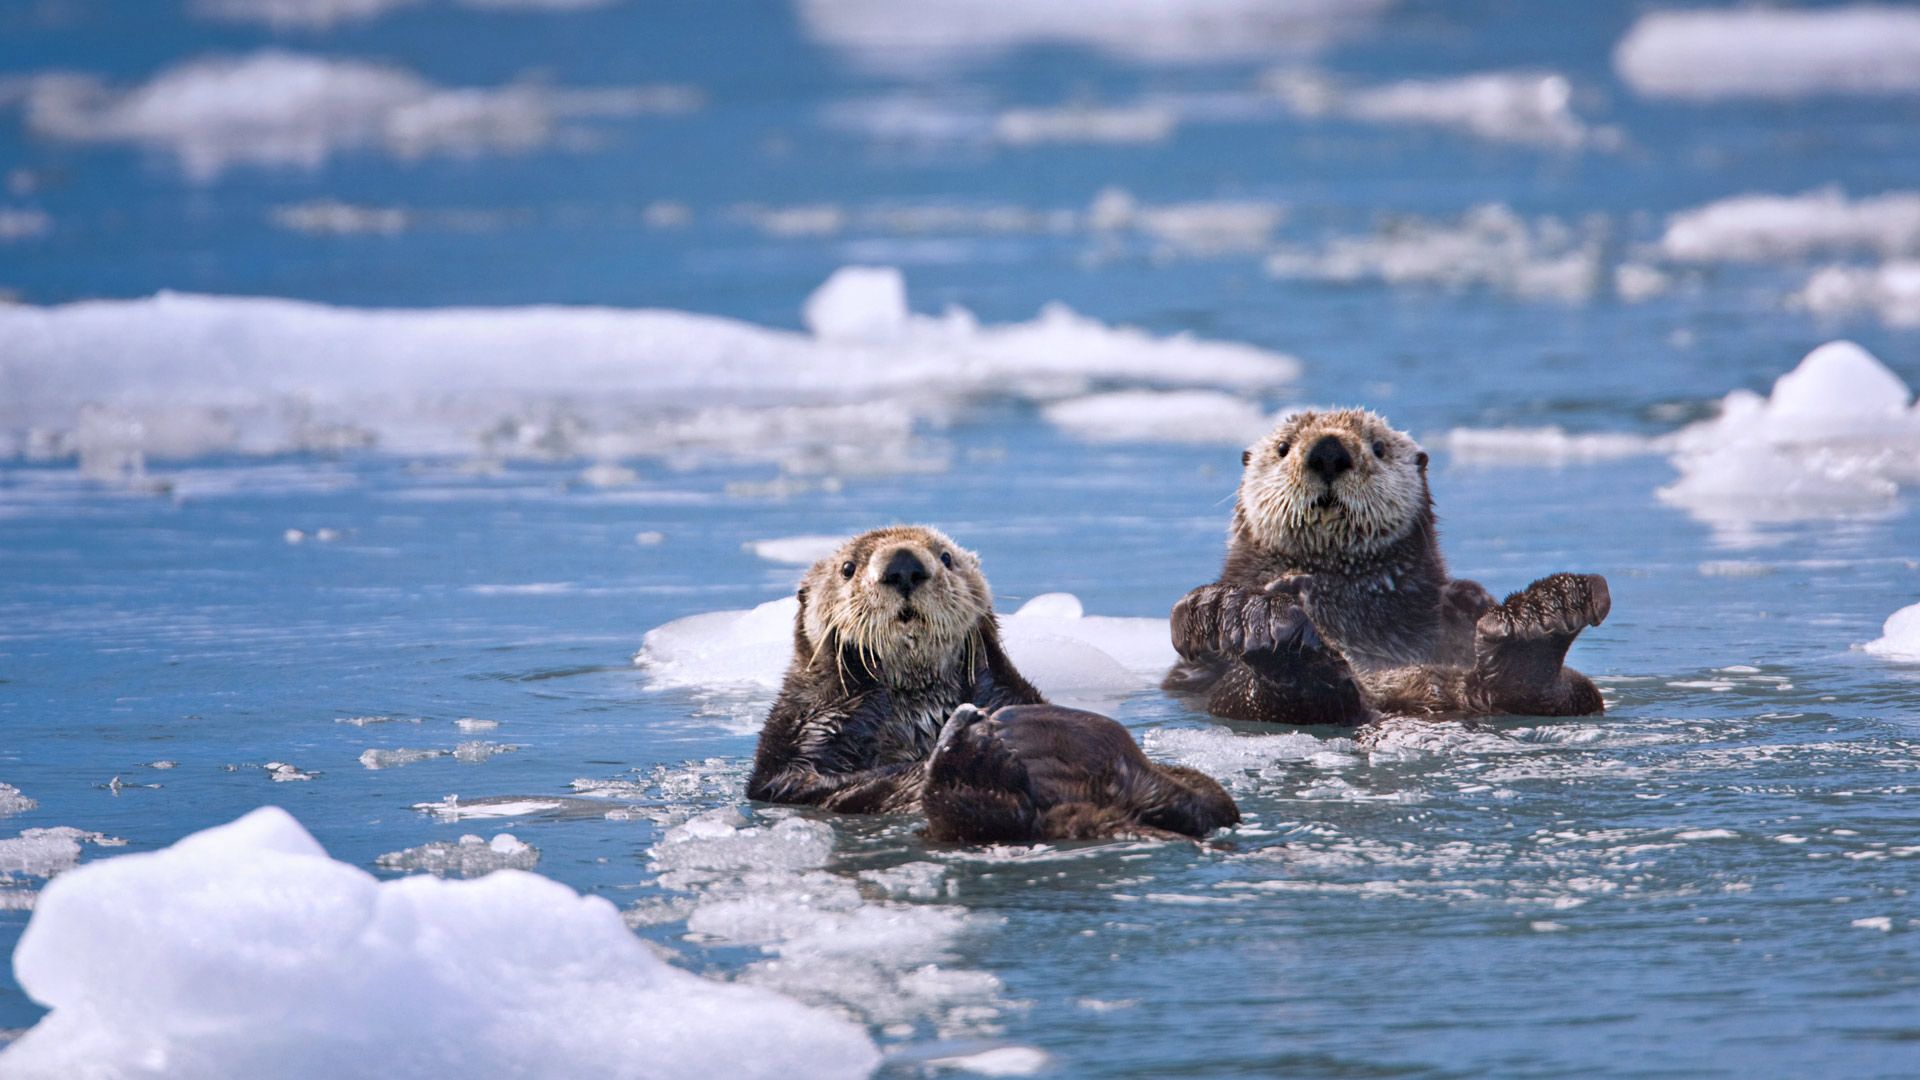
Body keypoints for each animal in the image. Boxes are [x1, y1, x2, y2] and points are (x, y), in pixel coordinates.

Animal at [1159, 409, 1612, 722]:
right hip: (1239, 696)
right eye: (1283, 447)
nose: (1328, 451)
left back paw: (1542, 616)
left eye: (1378, 447)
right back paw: (1251, 619)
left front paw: (1469, 595)